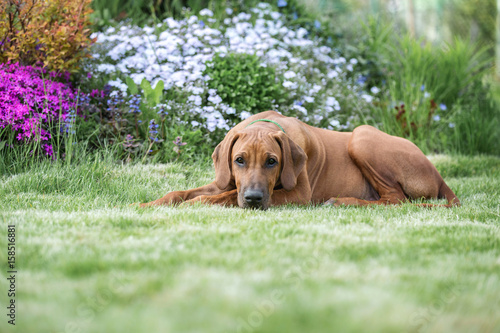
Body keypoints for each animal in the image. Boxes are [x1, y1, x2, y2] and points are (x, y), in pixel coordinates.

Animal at [141, 111, 460, 210]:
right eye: (239, 160)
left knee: (396, 199)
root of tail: (438, 174)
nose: (254, 199)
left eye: (272, 161)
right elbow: (180, 191)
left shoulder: (298, 194)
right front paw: (146, 205)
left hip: (361, 136)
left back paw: (342, 201)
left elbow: (221, 197)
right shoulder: (226, 179)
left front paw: (197, 204)